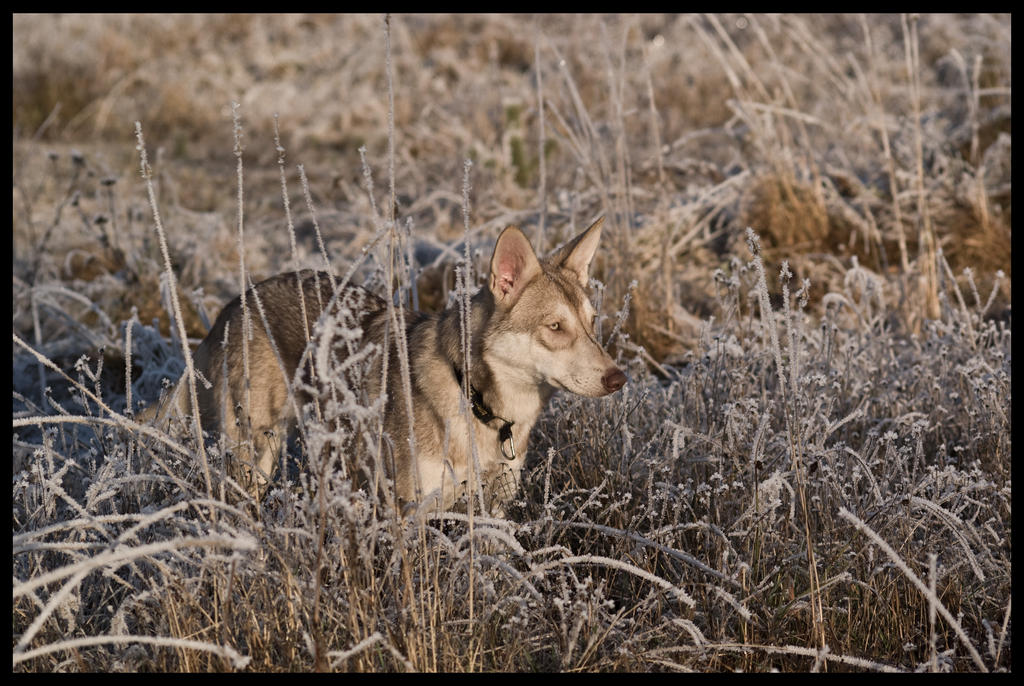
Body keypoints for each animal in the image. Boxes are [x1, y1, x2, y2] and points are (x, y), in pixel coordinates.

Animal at [144, 219, 622, 516]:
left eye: (592, 322)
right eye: (555, 327)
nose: (619, 378)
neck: (478, 403)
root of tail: (236, 303)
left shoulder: (494, 509)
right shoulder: (409, 514)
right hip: (253, 459)